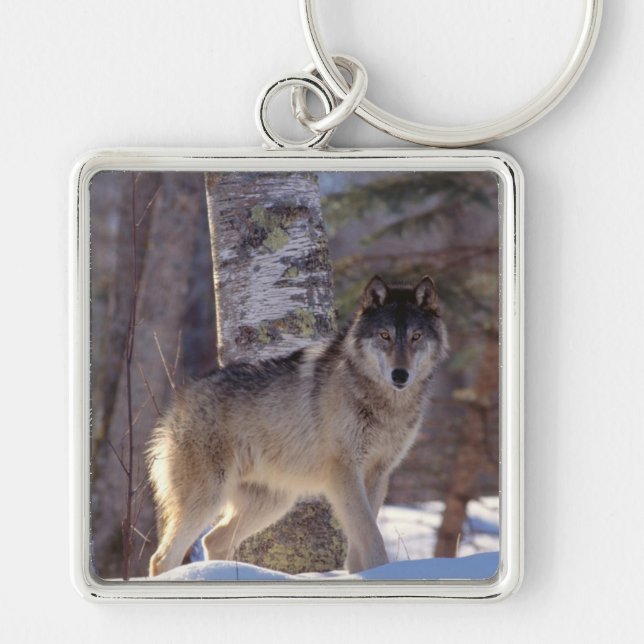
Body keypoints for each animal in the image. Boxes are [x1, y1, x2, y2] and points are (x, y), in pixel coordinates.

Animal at [147, 275, 448, 576]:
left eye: (416, 337)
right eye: (385, 336)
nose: (400, 375)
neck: (385, 404)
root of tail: (179, 402)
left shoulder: (377, 474)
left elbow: (361, 539)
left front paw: (361, 575)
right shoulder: (344, 473)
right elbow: (371, 535)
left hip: (273, 503)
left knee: (213, 540)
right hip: (209, 497)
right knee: (162, 557)